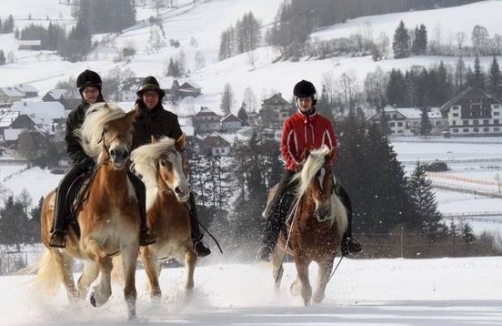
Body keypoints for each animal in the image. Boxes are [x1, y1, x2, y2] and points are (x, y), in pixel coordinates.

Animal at [37, 103, 140, 320]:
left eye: (130, 129)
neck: (112, 196)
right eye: (105, 130)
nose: (118, 153)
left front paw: (133, 320)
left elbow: (129, 291)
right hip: (60, 255)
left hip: (88, 261)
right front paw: (99, 296)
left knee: (82, 284)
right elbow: (107, 262)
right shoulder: (89, 243)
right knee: (72, 290)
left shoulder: (130, 244)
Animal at [129, 134, 196, 298]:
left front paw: (186, 293)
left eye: (183, 160)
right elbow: (155, 291)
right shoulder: (148, 255)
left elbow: (191, 263)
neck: (167, 215)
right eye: (163, 163)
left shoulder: (182, 248)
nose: (182, 190)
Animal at [270, 145, 350, 306]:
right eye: (311, 177)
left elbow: (319, 292)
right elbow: (306, 290)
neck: (316, 227)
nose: (323, 211)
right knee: (278, 273)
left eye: (330, 177)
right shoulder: (301, 257)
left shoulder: (327, 258)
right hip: (278, 249)